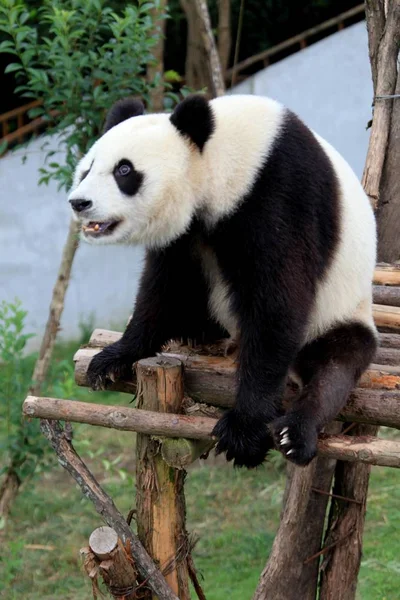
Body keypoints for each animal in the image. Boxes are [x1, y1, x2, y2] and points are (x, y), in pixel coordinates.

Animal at [68, 94, 378, 468]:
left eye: (124, 170)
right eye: (87, 168)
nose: (80, 202)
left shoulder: (278, 195)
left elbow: (277, 305)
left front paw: (244, 432)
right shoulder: (187, 232)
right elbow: (163, 287)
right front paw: (113, 359)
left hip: (341, 311)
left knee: (335, 365)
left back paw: (296, 432)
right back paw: (197, 330)